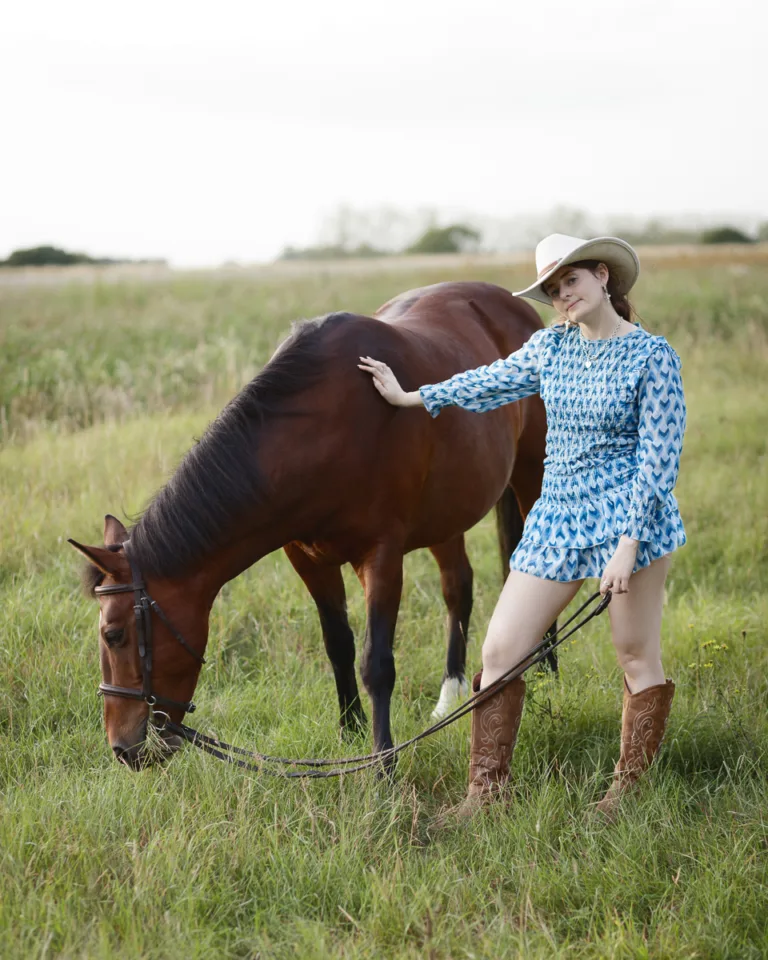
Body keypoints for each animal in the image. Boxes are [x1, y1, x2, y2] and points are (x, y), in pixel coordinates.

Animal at [69, 281, 552, 770]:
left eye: (113, 635)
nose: (121, 748)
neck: (325, 428)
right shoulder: (308, 559)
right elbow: (337, 645)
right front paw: (350, 729)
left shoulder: (382, 557)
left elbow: (376, 663)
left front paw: (383, 763)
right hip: (448, 513)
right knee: (458, 587)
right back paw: (449, 697)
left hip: (532, 475)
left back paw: (546, 666)